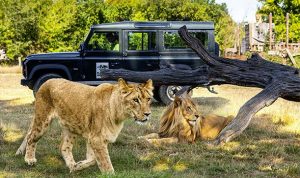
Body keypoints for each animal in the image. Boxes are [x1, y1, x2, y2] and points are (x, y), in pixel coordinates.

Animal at [15, 78, 154, 173]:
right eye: (135, 100)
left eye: (148, 99)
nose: (148, 114)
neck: (119, 115)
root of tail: (46, 81)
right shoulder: (96, 138)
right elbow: (105, 161)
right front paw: (110, 173)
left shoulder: (93, 138)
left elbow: (93, 159)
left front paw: (77, 166)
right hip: (43, 121)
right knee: (31, 137)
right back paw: (29, 159)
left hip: (70, 127)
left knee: (64, 147)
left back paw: (71, 165)